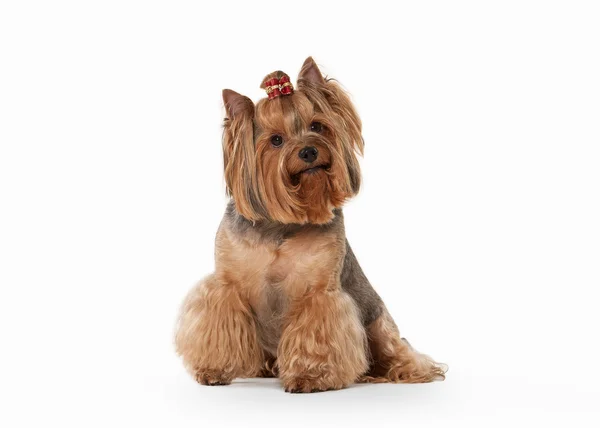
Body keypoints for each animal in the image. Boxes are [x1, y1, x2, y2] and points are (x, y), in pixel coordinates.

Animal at [173, 57, 446, 394]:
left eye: (316, 126)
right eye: (276, 140)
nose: (308, 151)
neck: (283, 223)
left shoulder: (320, 293)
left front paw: (310, 377)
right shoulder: (226, 285)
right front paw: (214, 369)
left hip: (379, 325)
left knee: (399, 350)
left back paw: (398, 370)